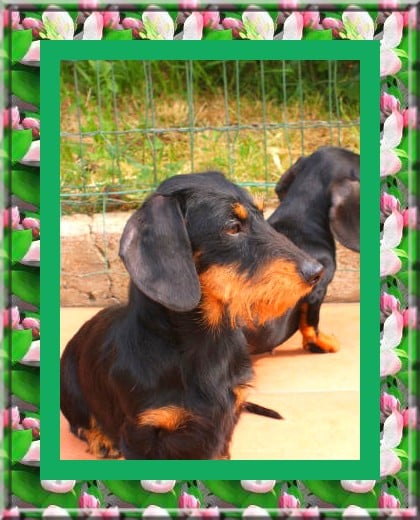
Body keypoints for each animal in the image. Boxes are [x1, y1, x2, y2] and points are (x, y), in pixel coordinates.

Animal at [60, 171, 324, 460]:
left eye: (263, 215)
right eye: (233, 227)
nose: (318, 271)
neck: (208, 344)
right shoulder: (140, 433)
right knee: (79, 421)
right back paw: (100, 439)